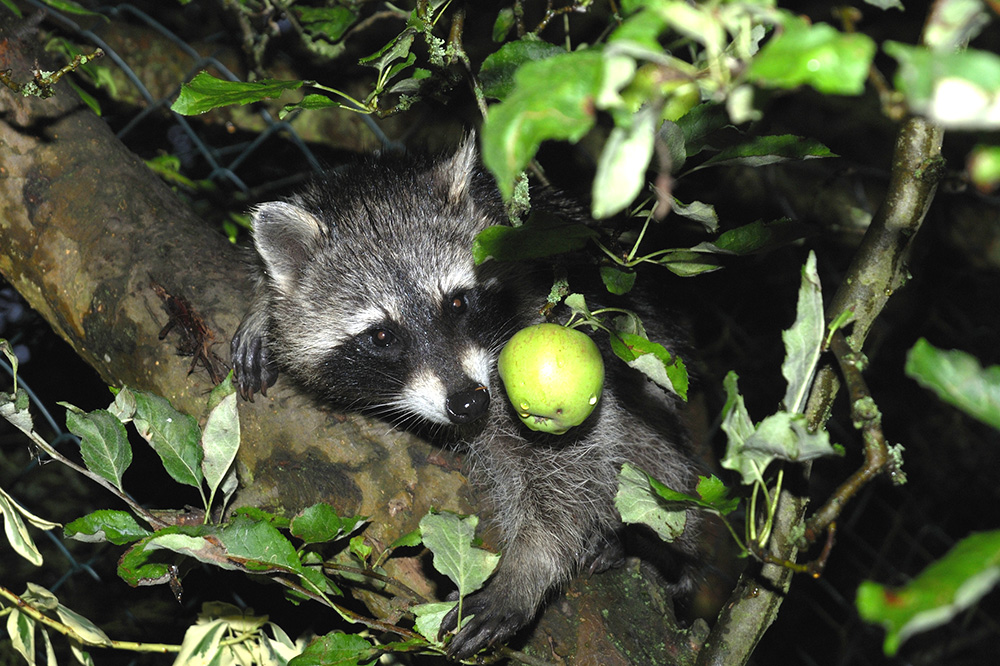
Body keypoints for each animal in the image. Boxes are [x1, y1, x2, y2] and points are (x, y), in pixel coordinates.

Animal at [231, 135, 704, 660]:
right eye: (381, 336)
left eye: (458, 302)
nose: (468, 404)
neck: (372, 193)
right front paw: (262, 309)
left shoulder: (534, 310)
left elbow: (571, 462)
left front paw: (529, 566)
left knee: (654, 450)